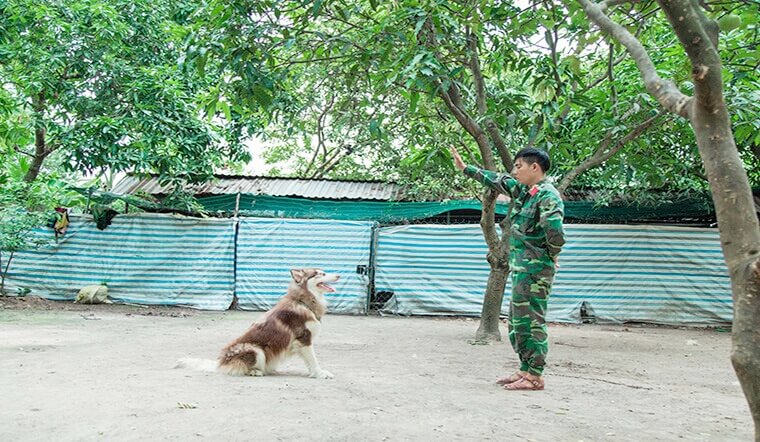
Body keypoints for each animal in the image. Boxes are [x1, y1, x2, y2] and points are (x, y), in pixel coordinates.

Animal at [177, 268, 336, 378]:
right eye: (319, 274)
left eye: (323, 272)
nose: (338, 275)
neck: (303, 301)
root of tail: (219, 363)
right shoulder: (303, 338)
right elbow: (313, 360)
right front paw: (320, 374)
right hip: (255, 349)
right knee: (239, 368)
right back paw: (255, 371)